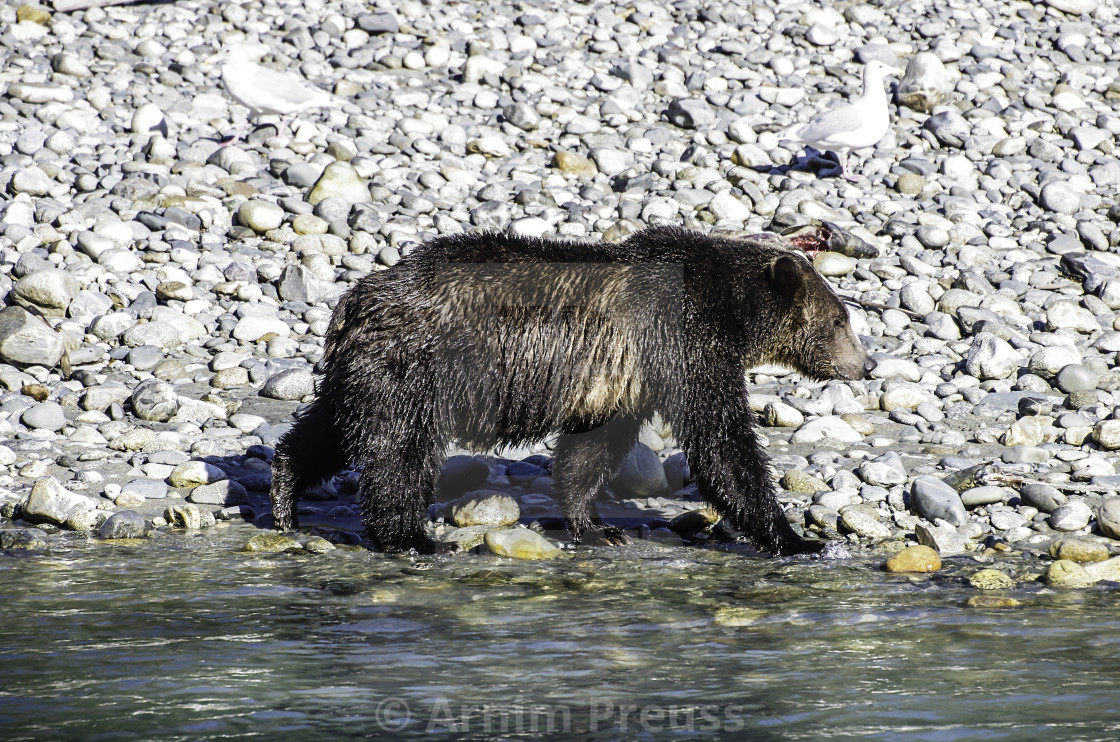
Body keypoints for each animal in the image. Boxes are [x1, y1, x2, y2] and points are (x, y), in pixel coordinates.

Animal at [271, 226, 873, 558]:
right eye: (840, 319)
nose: (864, 364)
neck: (730, 308)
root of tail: (355, 300)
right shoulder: (683, 344)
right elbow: (722, 442)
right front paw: (795, 538)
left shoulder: (627, 376)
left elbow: (591, 449)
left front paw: (597, 526)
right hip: (417, 367)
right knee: (399, 450)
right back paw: (410, 536)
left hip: (366, 370)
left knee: (330, 427)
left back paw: (284, 494)